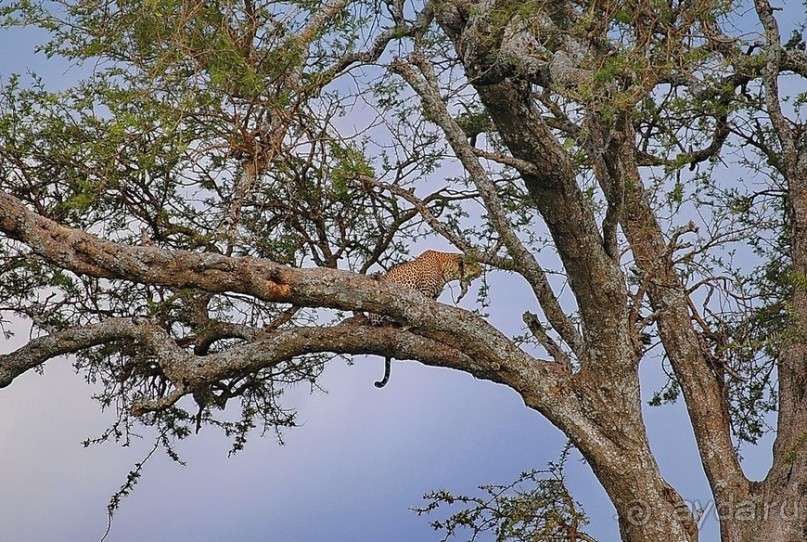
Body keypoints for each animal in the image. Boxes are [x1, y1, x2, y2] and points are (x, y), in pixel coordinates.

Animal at [370, 253, 482, 388]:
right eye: (473, 264)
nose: (481, 271)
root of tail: (372, 320)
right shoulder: (425, 293)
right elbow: (423, 315)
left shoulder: (434, 297)